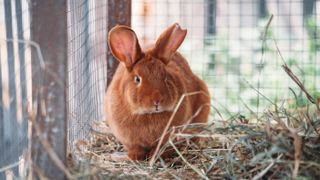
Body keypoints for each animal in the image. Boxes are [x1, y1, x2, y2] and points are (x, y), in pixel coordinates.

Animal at [104, 22, 210, 160]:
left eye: (166, 77)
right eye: (137, 79)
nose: (157, 100)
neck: (148, 114)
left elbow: (160, 149)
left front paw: (155, 156)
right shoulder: (130, 141)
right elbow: (135, 149)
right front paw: (134, 157)